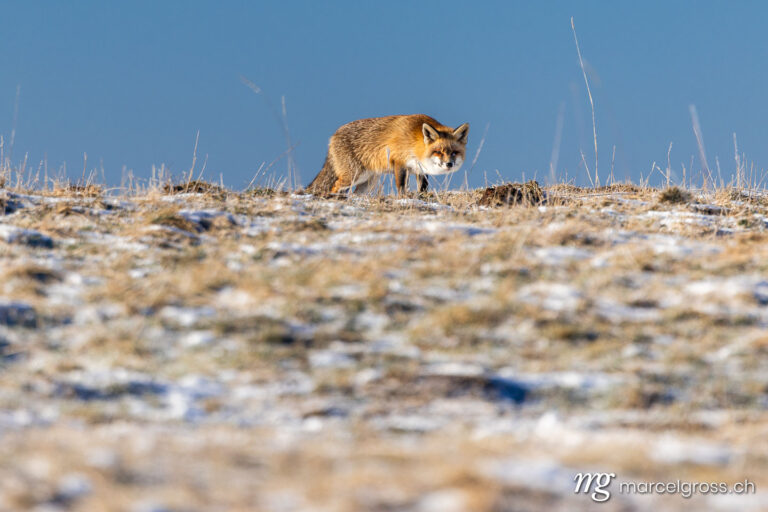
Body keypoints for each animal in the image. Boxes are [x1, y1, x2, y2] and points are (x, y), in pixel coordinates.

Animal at [306, 115, 468, 195]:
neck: (414, 142)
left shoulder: (419, 169)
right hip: (354, 175)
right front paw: (403, 199)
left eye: (454, 152)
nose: (449, 164)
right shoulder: (399, 162)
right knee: (335, 186)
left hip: (368, 182)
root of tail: (333, 136)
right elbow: (401, 186)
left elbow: (423, 188)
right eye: (439, 152)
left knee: (355, 193)